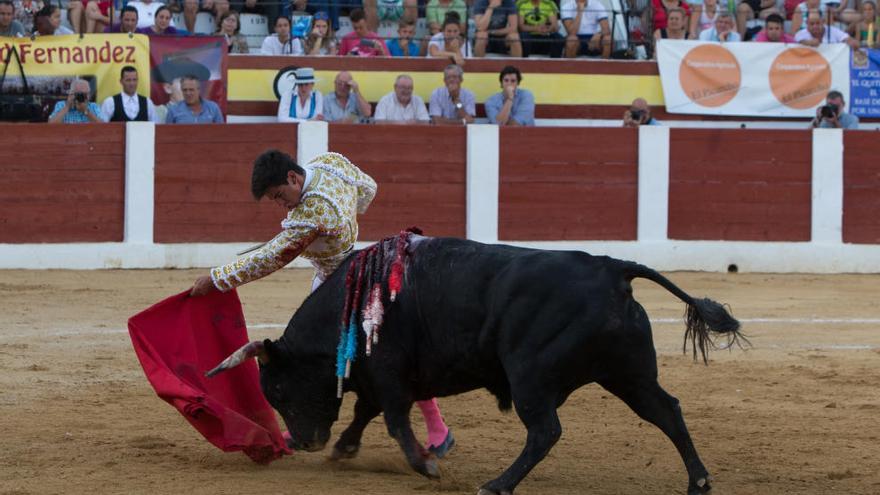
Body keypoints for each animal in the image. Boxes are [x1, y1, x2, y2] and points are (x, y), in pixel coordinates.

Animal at [208, 236, 744, 495]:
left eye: (278, 390)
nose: (303, 442)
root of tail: (611, 268)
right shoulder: (379, 379)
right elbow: (366, 412)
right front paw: (345, 449)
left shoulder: (390, 374)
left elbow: (394, 420)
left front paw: (425, 466)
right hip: (627, 373)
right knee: (666, 411)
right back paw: (699, 482)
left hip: (531, 375)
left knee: (545, 431)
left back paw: (497, 485)